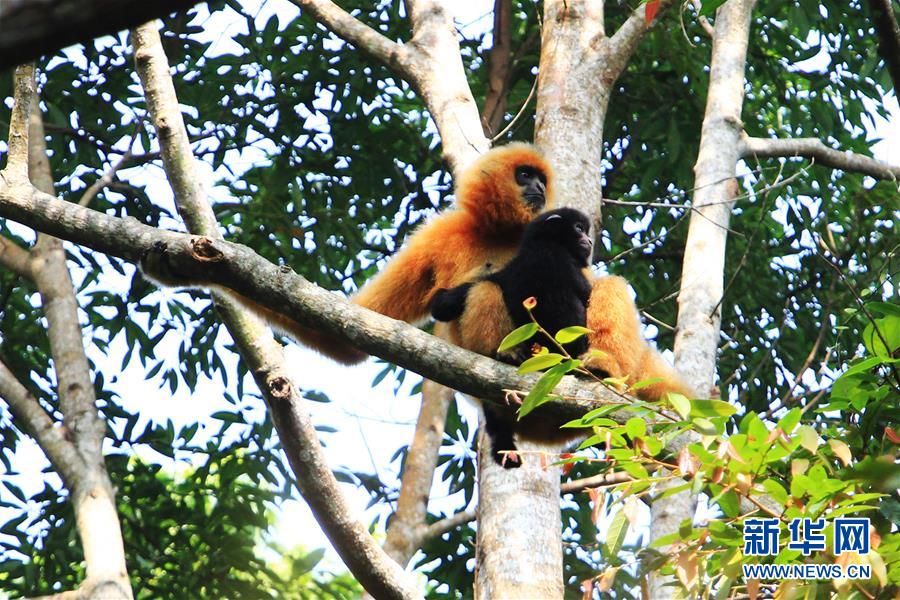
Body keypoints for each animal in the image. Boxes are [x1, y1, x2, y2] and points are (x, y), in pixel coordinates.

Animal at [431, 208, 595, 467]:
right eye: (578, 228)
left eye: (585, 231)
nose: (588, 240)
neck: (542, 245)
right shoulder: (561, 260)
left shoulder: (510, 268)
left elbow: (444, 304)